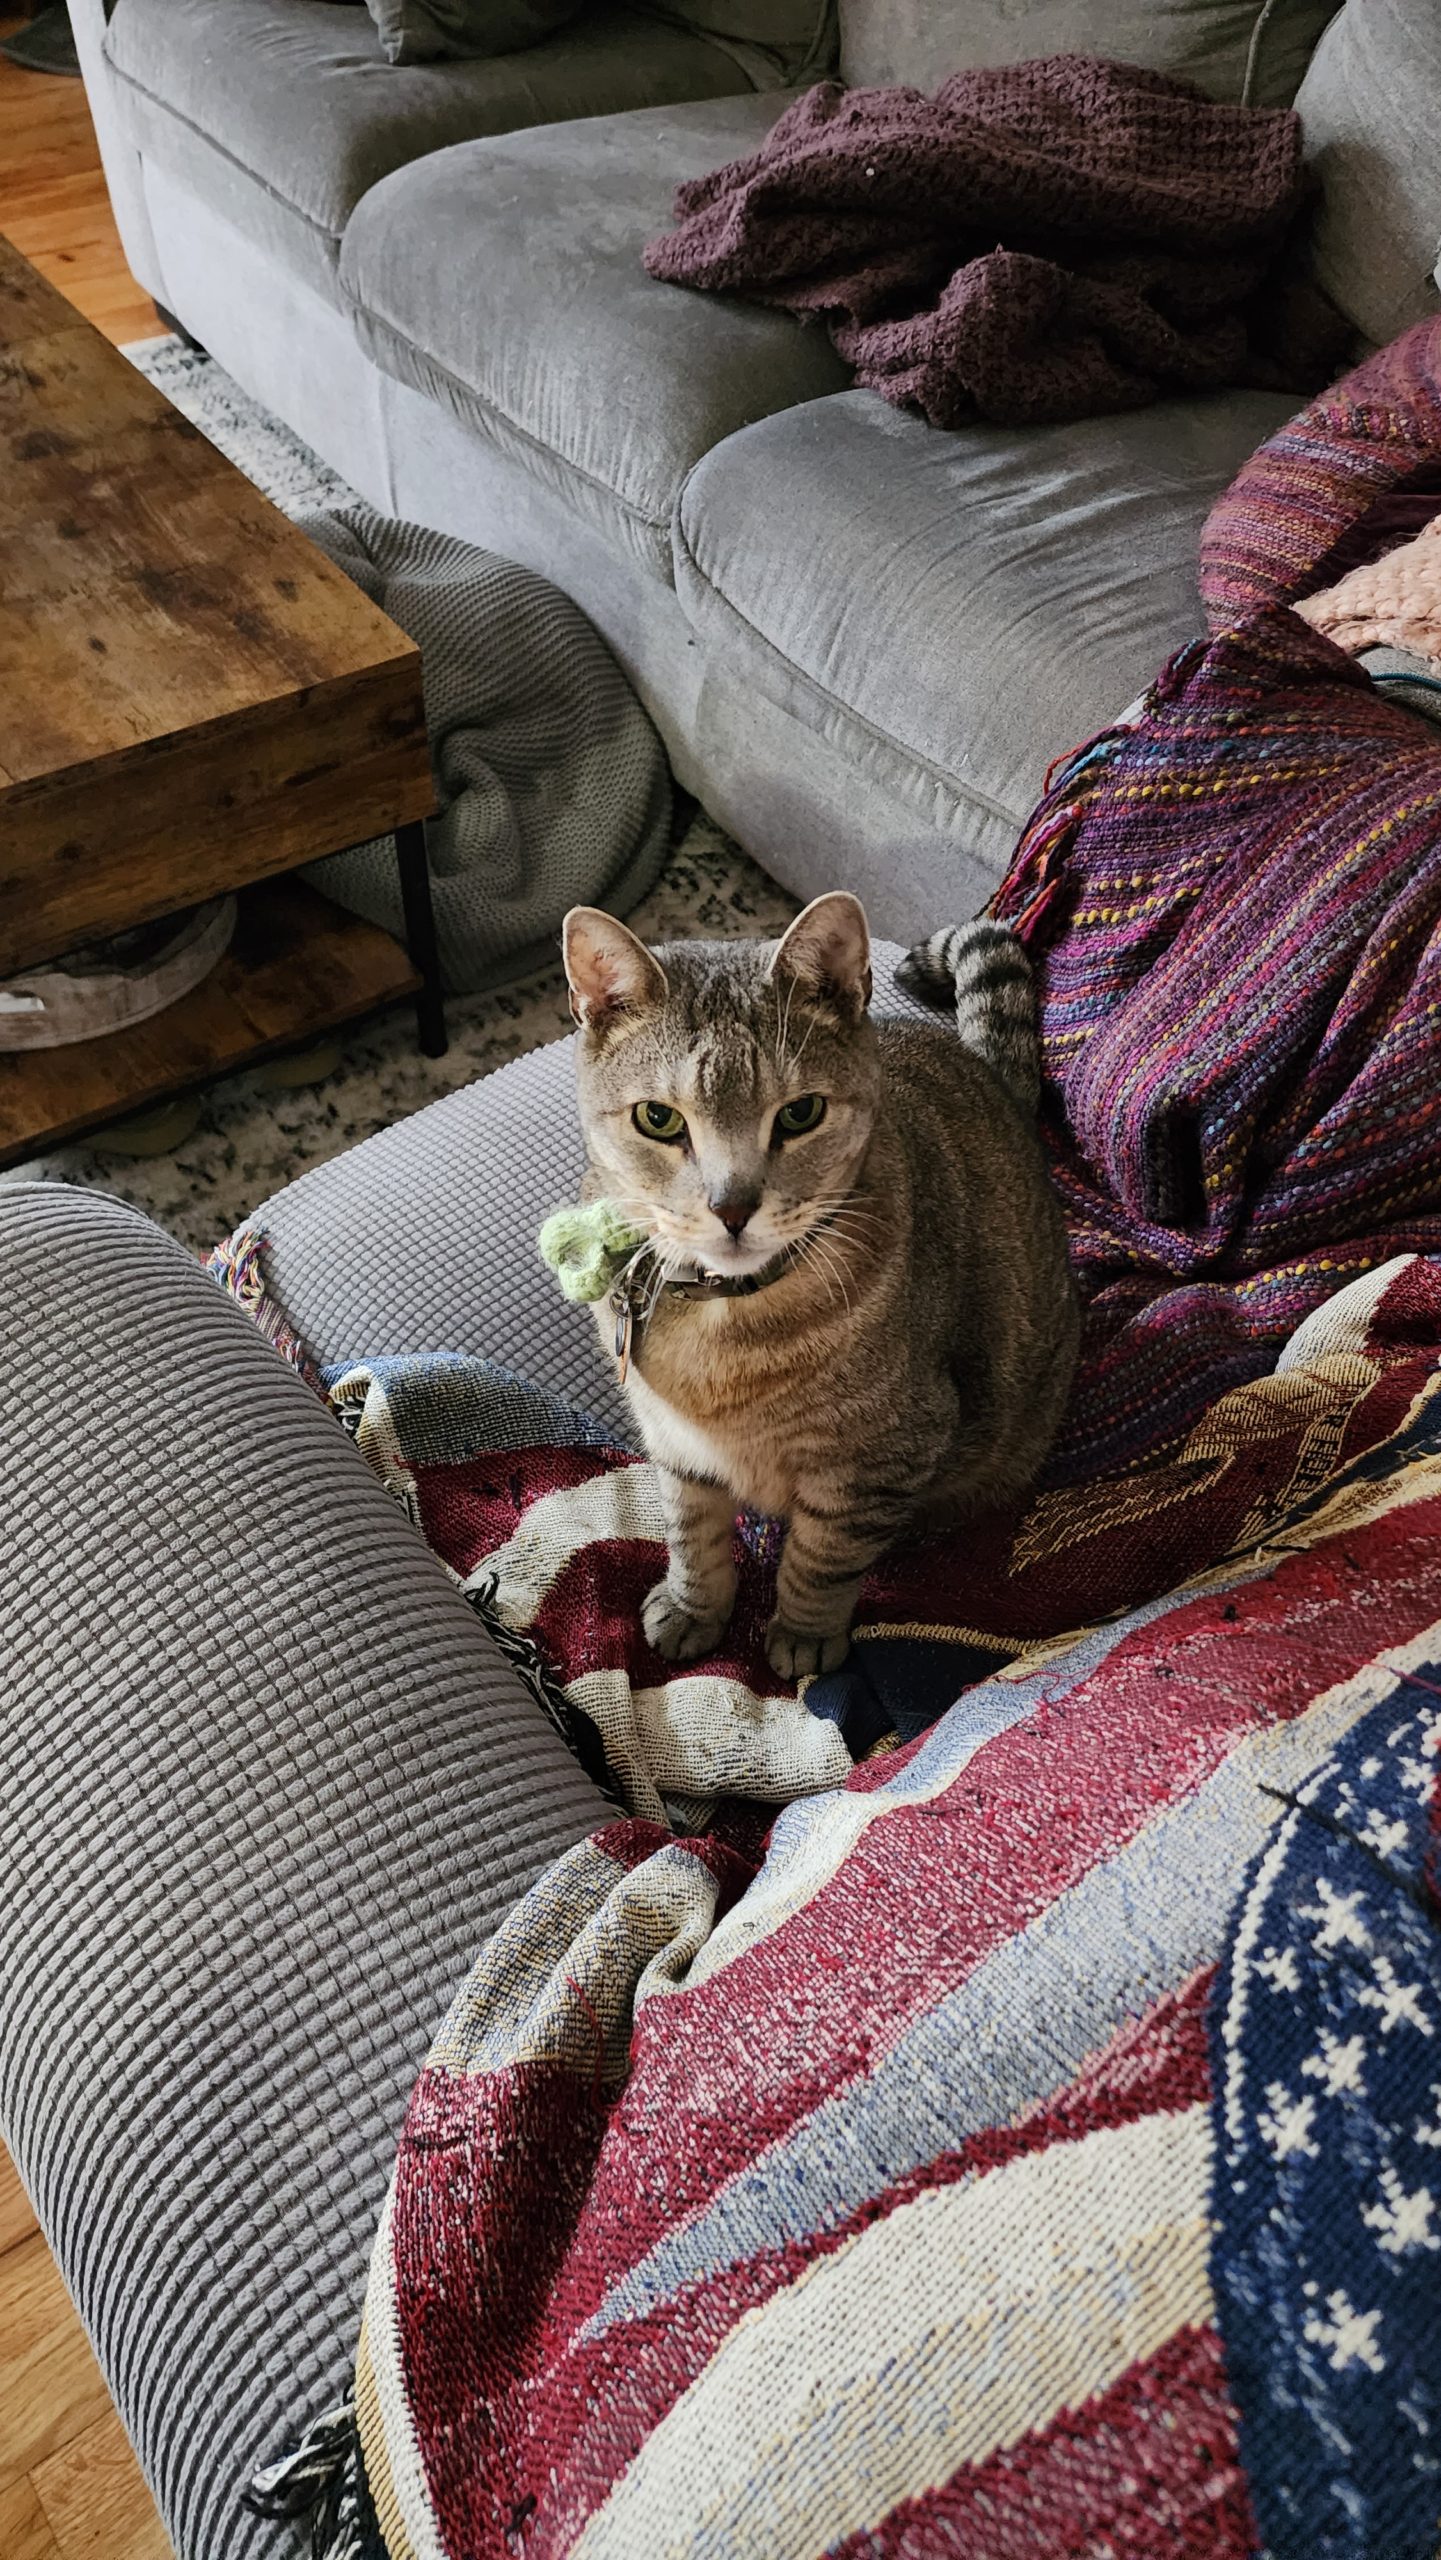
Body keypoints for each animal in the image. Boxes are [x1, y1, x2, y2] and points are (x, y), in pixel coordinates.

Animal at [565, 890, 1085, 1689]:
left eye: (800, 1113)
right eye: (658, 1118)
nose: (732, 1207)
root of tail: (990, 1076)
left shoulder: (878, 1461)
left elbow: (821, 1560)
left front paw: (803, 1635)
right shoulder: (674, 1445)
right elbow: (692, 1534)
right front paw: (692, 1608)